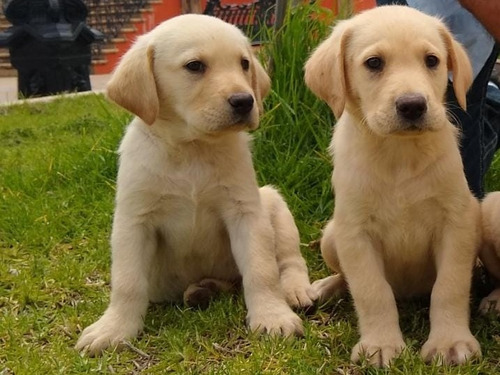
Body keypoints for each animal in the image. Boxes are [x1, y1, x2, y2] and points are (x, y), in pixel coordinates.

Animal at [75, 13, 314, 356]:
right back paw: (203, 289)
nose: (245, 101)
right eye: (195, 66)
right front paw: (114, 328)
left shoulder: (245, 212)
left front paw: (272, 315)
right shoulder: (133, 221)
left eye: (244, 64)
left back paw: (295, 290)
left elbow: (262, 269)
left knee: (288, 259)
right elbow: (127, 281)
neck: (192, 149)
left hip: (273, 203)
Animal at [304, 5, 480, 368]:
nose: (413, 105)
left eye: (432, 60)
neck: (400, 154)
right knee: (347, 278)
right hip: (331, 236)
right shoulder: (356, 234)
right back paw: (326, 287)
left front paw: (450, 342)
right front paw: (381, 345)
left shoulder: (456, 223)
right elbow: (372, 291)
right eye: (374, 63)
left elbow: (450, 287)